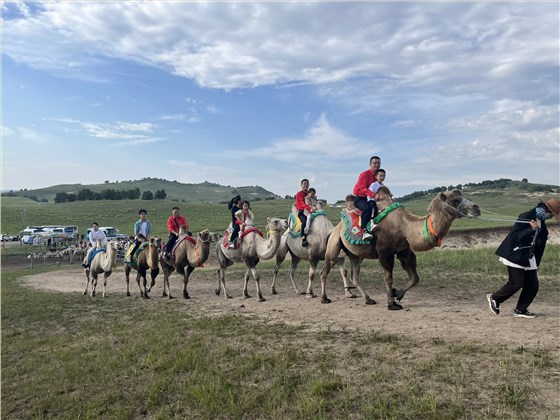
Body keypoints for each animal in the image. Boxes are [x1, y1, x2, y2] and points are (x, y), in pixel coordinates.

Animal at [320, 187, 482, 308]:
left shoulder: (405, 251)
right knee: (325, 270)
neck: (406, 226)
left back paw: (368, 299)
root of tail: (335, 228)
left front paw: (397, 294)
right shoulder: (385, 252)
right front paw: (392, 304)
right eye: (455, 200)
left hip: (356, 254)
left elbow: (415, 278)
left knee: (355, 275)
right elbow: (388, 278)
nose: (477, 208)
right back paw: (324, 298)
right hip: (334, 244)